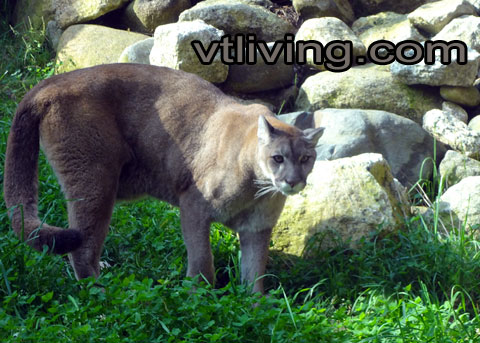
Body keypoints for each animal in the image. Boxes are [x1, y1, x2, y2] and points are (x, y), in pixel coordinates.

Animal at [3, 63, 322, 292]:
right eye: (278, 158)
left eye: (306, 159)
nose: (292, 181)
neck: (256, 188)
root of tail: (50, 82)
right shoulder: (194, 206)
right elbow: (202, 261)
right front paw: (198, 298)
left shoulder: (257, 229)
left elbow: (254, 275)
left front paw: (256, 308)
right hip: (95, 179)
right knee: (81, 248)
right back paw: (103, 297)